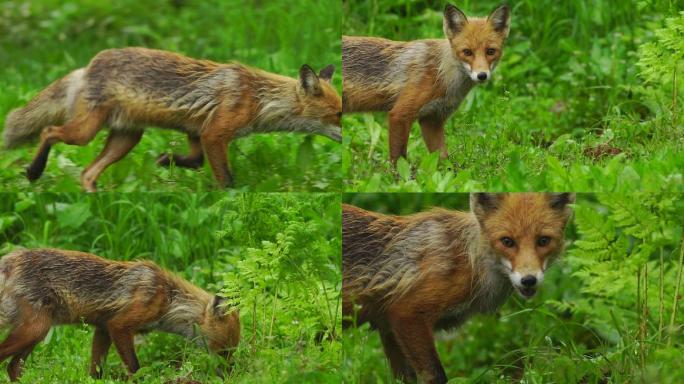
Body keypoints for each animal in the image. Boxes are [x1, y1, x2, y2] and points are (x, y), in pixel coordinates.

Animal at [0, 47, 342, 191]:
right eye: (338, 114)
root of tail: (86, 67)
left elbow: (195, 160)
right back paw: (34, 171)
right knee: (48, 131)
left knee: (87, 173)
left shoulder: (196, 131)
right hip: (84, 133)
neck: (259, 98)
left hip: (126, 139)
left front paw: (166, 161)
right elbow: (226, 180)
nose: (346, 136)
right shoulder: (214, 134)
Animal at [0, 249, 240, 380]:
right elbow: (135, 367)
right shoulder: (120, 326)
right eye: (225, 350)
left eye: (231, 351)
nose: (231, 375)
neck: (170, 299)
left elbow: (95, 370)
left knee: (13, 367)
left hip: (36, 332)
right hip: (35, 329)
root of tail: (8, 259)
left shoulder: (103, 329)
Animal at [344, 4, 510, 164]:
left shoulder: (432, 119)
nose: (482, 75)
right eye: (467, 52)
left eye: (490, 51)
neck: (440, 73)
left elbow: (443, 159)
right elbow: (399, 159)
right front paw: (399, 175)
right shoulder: (399, 114)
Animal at [344, 194, 576, 382]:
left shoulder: (388, 327)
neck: (469, 261)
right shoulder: (406, 314)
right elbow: (436, 375)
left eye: (543, 241)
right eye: (507, 241)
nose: (529, 280)